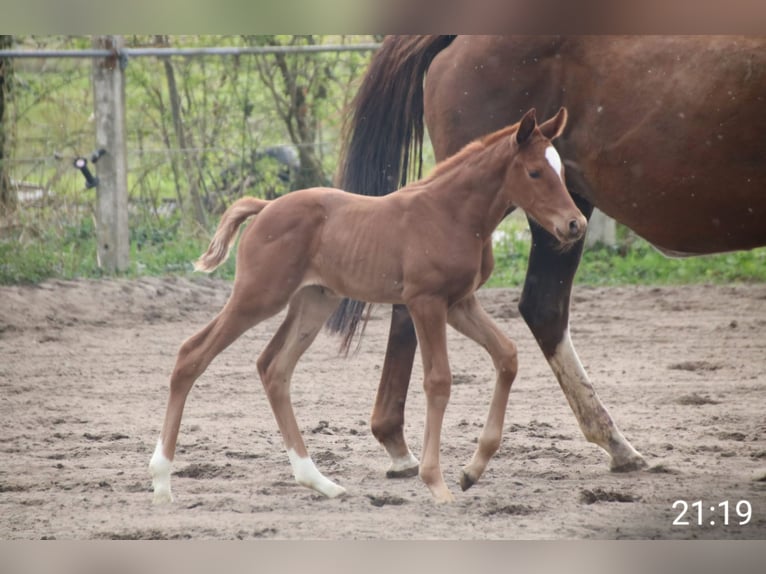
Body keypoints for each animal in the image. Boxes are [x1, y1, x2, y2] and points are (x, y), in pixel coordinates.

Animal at [149, 107, 587, 504]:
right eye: (534, 172)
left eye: (562, 173)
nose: (575, 225)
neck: (452, 214)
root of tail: (265, 207)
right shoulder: (425, 301)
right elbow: (438, 381)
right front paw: (436, 482)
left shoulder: (459, 303)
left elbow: (507, 356)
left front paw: (472, 470)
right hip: (258, 296)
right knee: (192, 354)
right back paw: (162, 480)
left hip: (314, 302)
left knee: (274, 368)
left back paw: (318, 481)